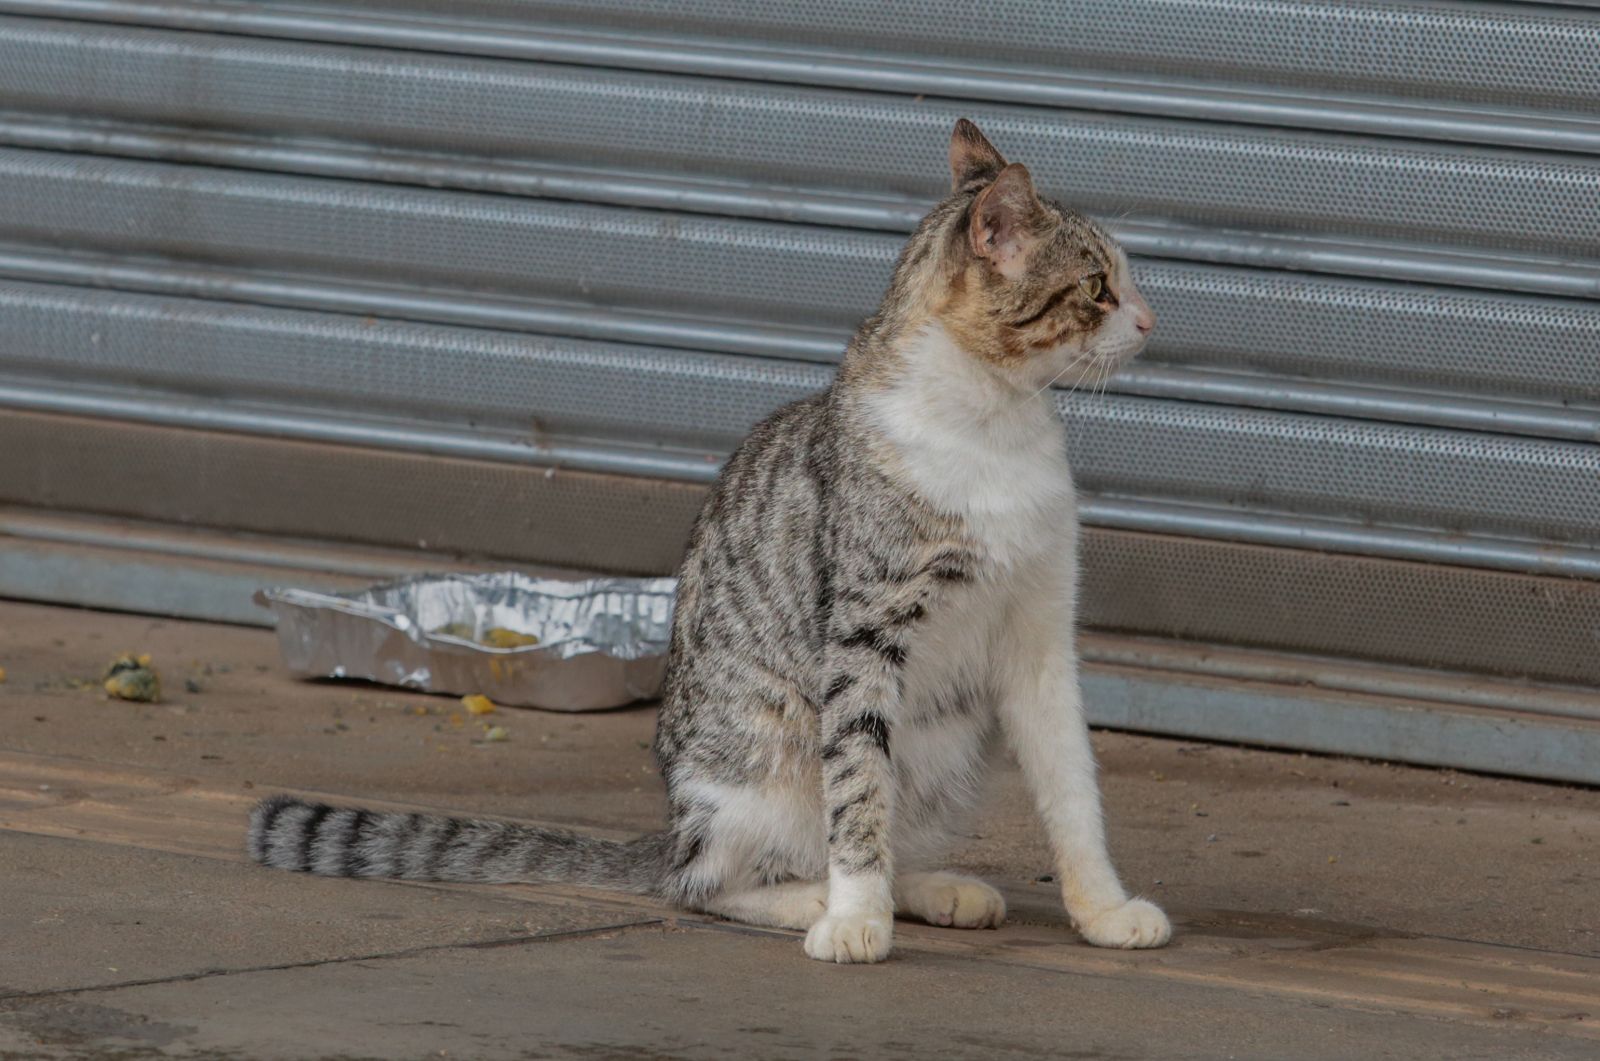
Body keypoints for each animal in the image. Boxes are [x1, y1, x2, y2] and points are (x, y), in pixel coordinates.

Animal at [252, 120, 1177, 966]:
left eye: (1121, 281)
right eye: (1096, 286)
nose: (1150, 318)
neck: (999, 426)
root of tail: (669, 830)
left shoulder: (1040, 633)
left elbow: (1071, 784)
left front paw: (1103, 907)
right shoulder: (862, 635)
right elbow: (856, 789)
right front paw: (854, 917)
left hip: (944, 751)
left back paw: (926, 887)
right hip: (756, 766)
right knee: (707, 881)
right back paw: (813, 896)